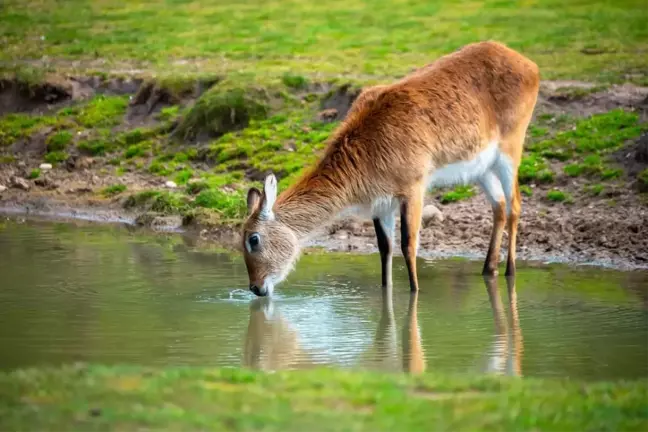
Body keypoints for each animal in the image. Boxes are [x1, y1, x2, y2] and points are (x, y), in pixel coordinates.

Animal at [240, 40, 540, 296]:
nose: (255, 288)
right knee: (499, 206)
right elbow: (385, 248)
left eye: (253, 239)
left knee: (515, 205)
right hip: (482, 168)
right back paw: (488, 269)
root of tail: (528, 64)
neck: (368, 146)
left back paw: (510, 270)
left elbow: (409, 244)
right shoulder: (381, 203)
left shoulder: (414, 189)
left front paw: (415, 292)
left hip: (510, 150)